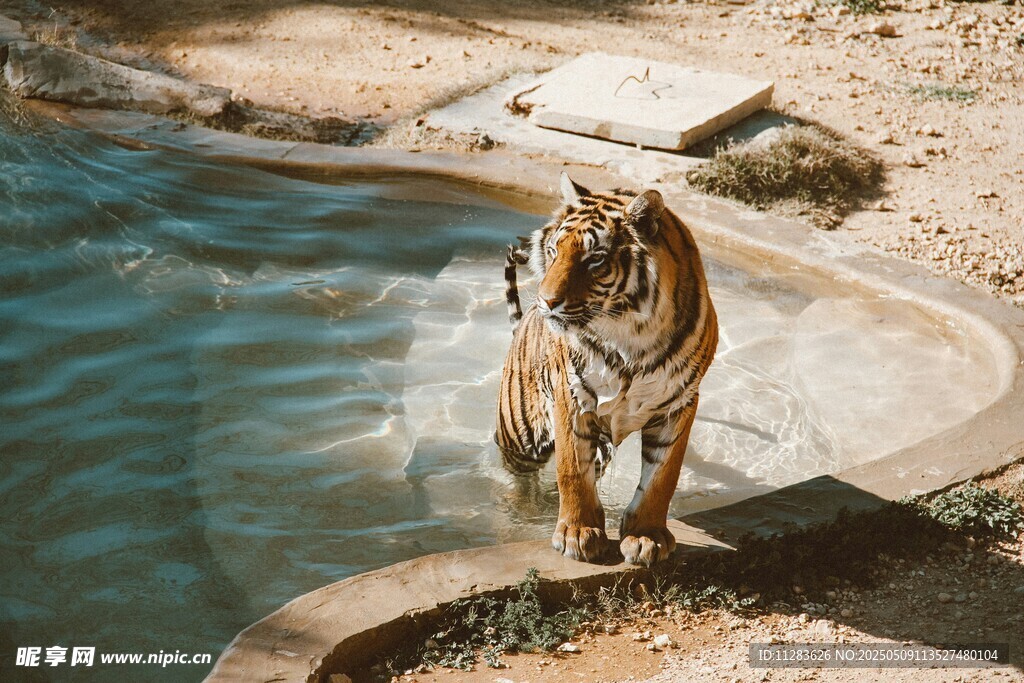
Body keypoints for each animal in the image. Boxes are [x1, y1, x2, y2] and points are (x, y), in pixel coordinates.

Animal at [495, 173, 718, 567]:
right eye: (554, 251)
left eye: (594, 259)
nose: (546, 301)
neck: (631, 336)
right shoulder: (571, 396)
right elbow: (572, 470)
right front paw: (577, 533)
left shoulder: (679, 403)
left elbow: (662, 477)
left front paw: (646, 536)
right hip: (520, 436)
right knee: (517, 478)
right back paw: (521, 510)